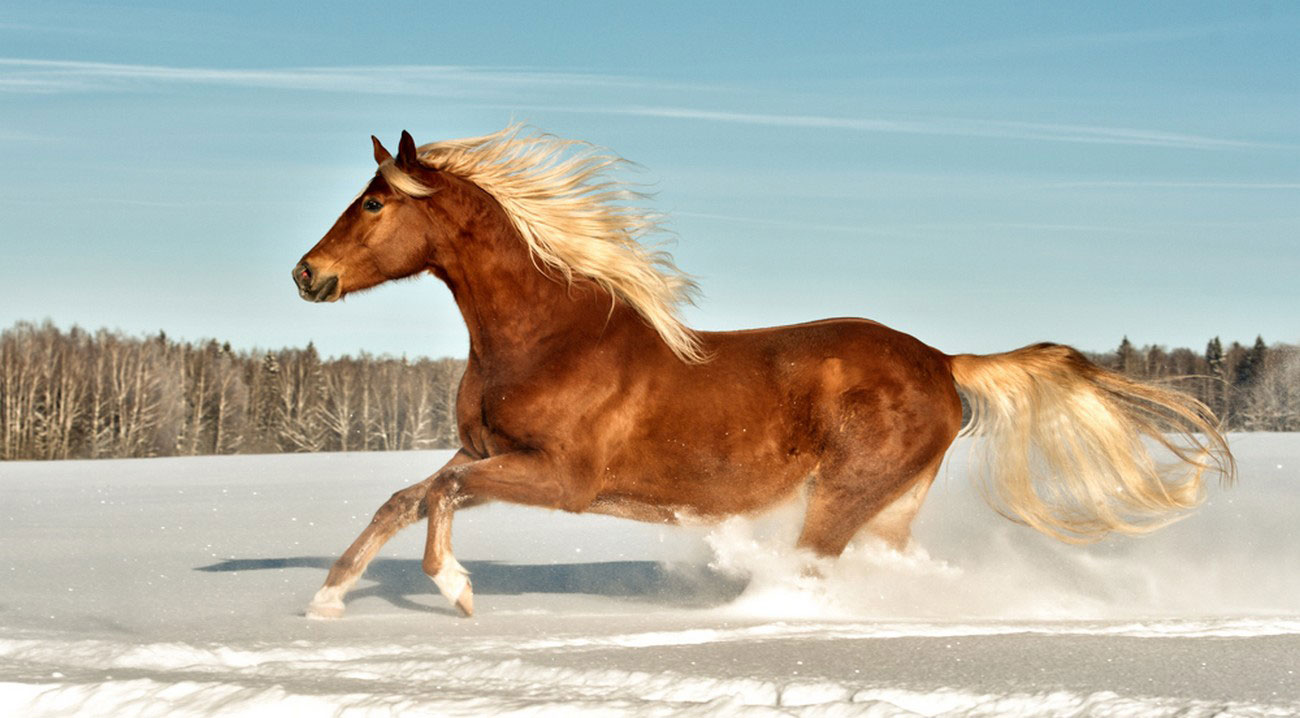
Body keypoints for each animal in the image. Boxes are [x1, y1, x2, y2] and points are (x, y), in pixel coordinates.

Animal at [289, 123, 1232, 616]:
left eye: (374, 201)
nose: (307, 274)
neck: (547, 338)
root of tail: (940, 360)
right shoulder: (490, 454)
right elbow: (407, 496)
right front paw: (329, 599)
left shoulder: (561, 478)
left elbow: (438, 495)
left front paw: (454, 590)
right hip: (891, 506)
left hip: (844, 493)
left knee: (809, 567)